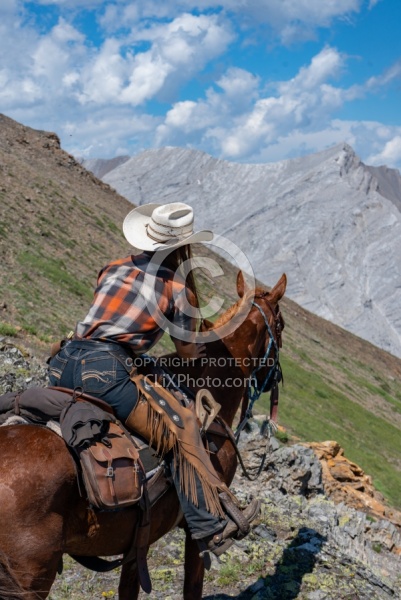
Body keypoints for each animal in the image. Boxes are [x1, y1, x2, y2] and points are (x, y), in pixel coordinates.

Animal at [0, 274, 284, 600]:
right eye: (281, 326)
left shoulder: (137, 544)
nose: (276, 378)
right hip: (30, 576)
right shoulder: (192, 538)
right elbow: (193, 586)